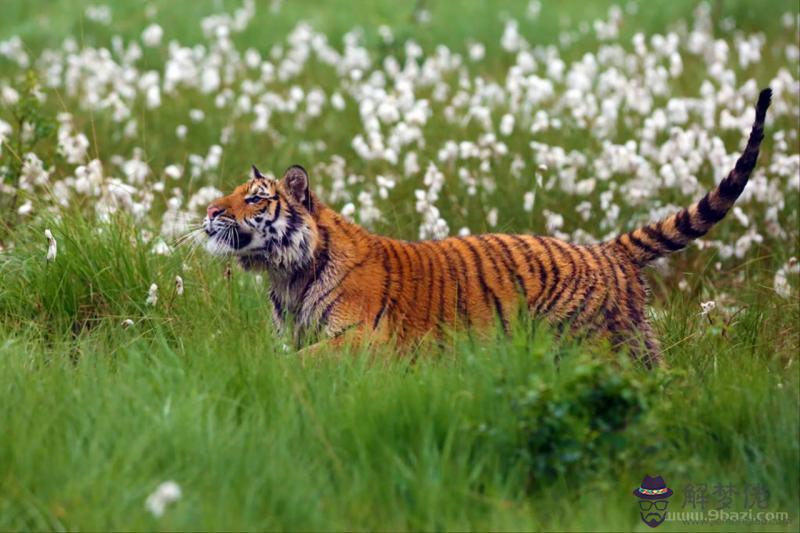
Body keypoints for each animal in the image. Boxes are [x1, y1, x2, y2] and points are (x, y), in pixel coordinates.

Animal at [203, 87, 772, 366]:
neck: (287, 275)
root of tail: (606, 250)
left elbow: (302, 366)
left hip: (591, 341)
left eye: (255, 198)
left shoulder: (366, 339)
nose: (209, 211)